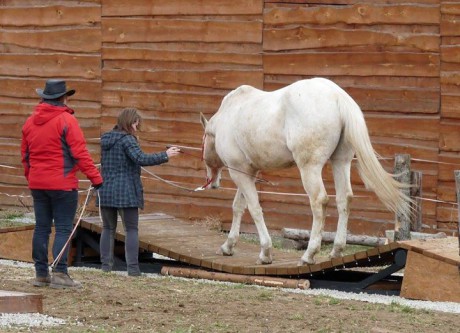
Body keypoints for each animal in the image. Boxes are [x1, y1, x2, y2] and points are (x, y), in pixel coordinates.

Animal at [199, 78, 412, 264]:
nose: (212, 182)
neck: (229, 114)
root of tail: (338, 97)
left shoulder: (239, 173)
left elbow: (254, 208)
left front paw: (265, 253)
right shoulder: (248, 173)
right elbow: (238, 207)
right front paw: (228, 246)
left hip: (309, 168)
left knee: (319, 201)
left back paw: (309, 254)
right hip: (340, 162)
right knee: (344, 199)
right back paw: (336, 250)